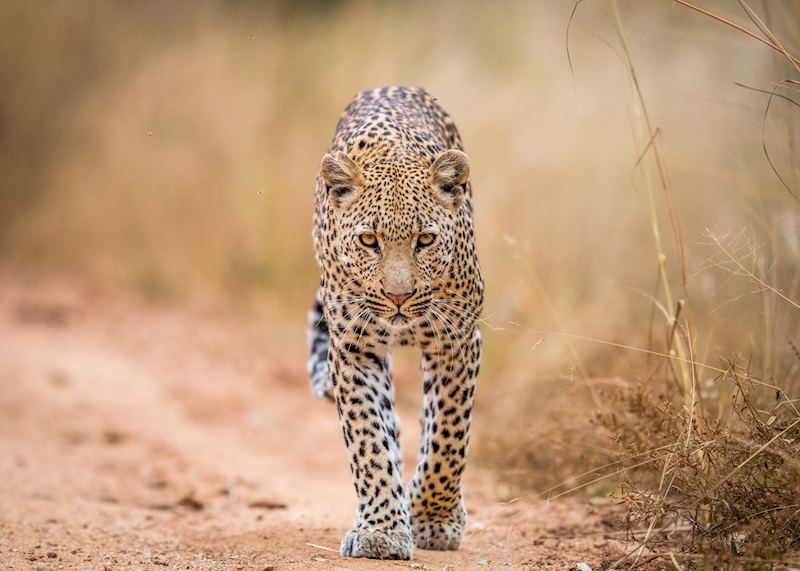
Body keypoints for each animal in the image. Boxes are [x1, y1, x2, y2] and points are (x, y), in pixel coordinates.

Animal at [307, 85, 483, 560]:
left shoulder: (457, 341)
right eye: (370, 240)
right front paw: (382, 531)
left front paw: (435, 519)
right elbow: (368, 439)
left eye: (425, 240)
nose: (398, 296)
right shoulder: (354, 349)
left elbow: (448, 435)